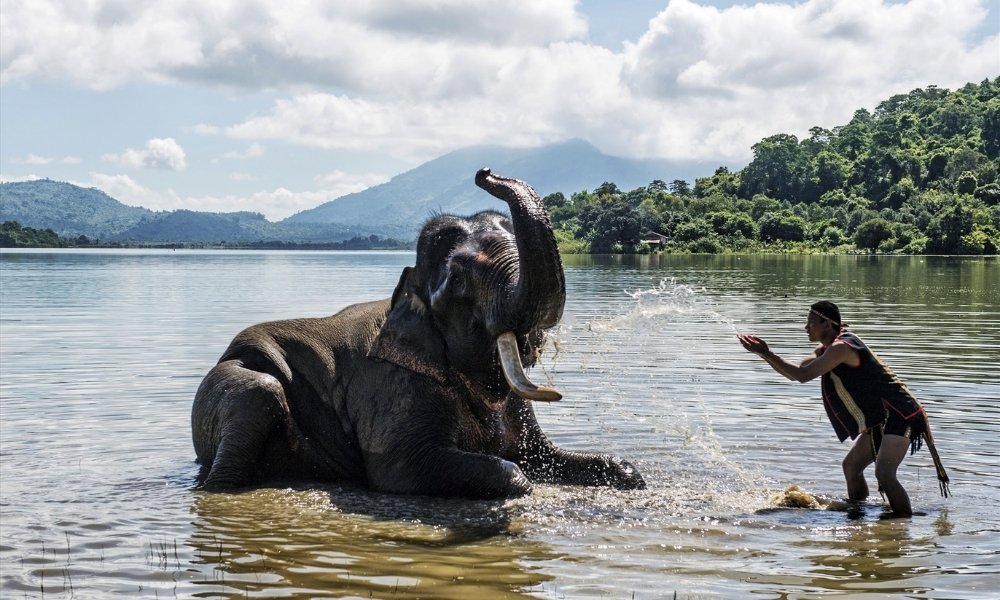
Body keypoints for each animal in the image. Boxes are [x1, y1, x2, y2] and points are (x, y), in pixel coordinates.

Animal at [193, 168, 648, 496]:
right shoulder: (391, 384)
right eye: (458, 281)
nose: (485, 173)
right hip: (231, 384)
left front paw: (629, 474)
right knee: (258, 394)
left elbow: (545, 455)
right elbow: (406, 467)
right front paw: (519, 480)